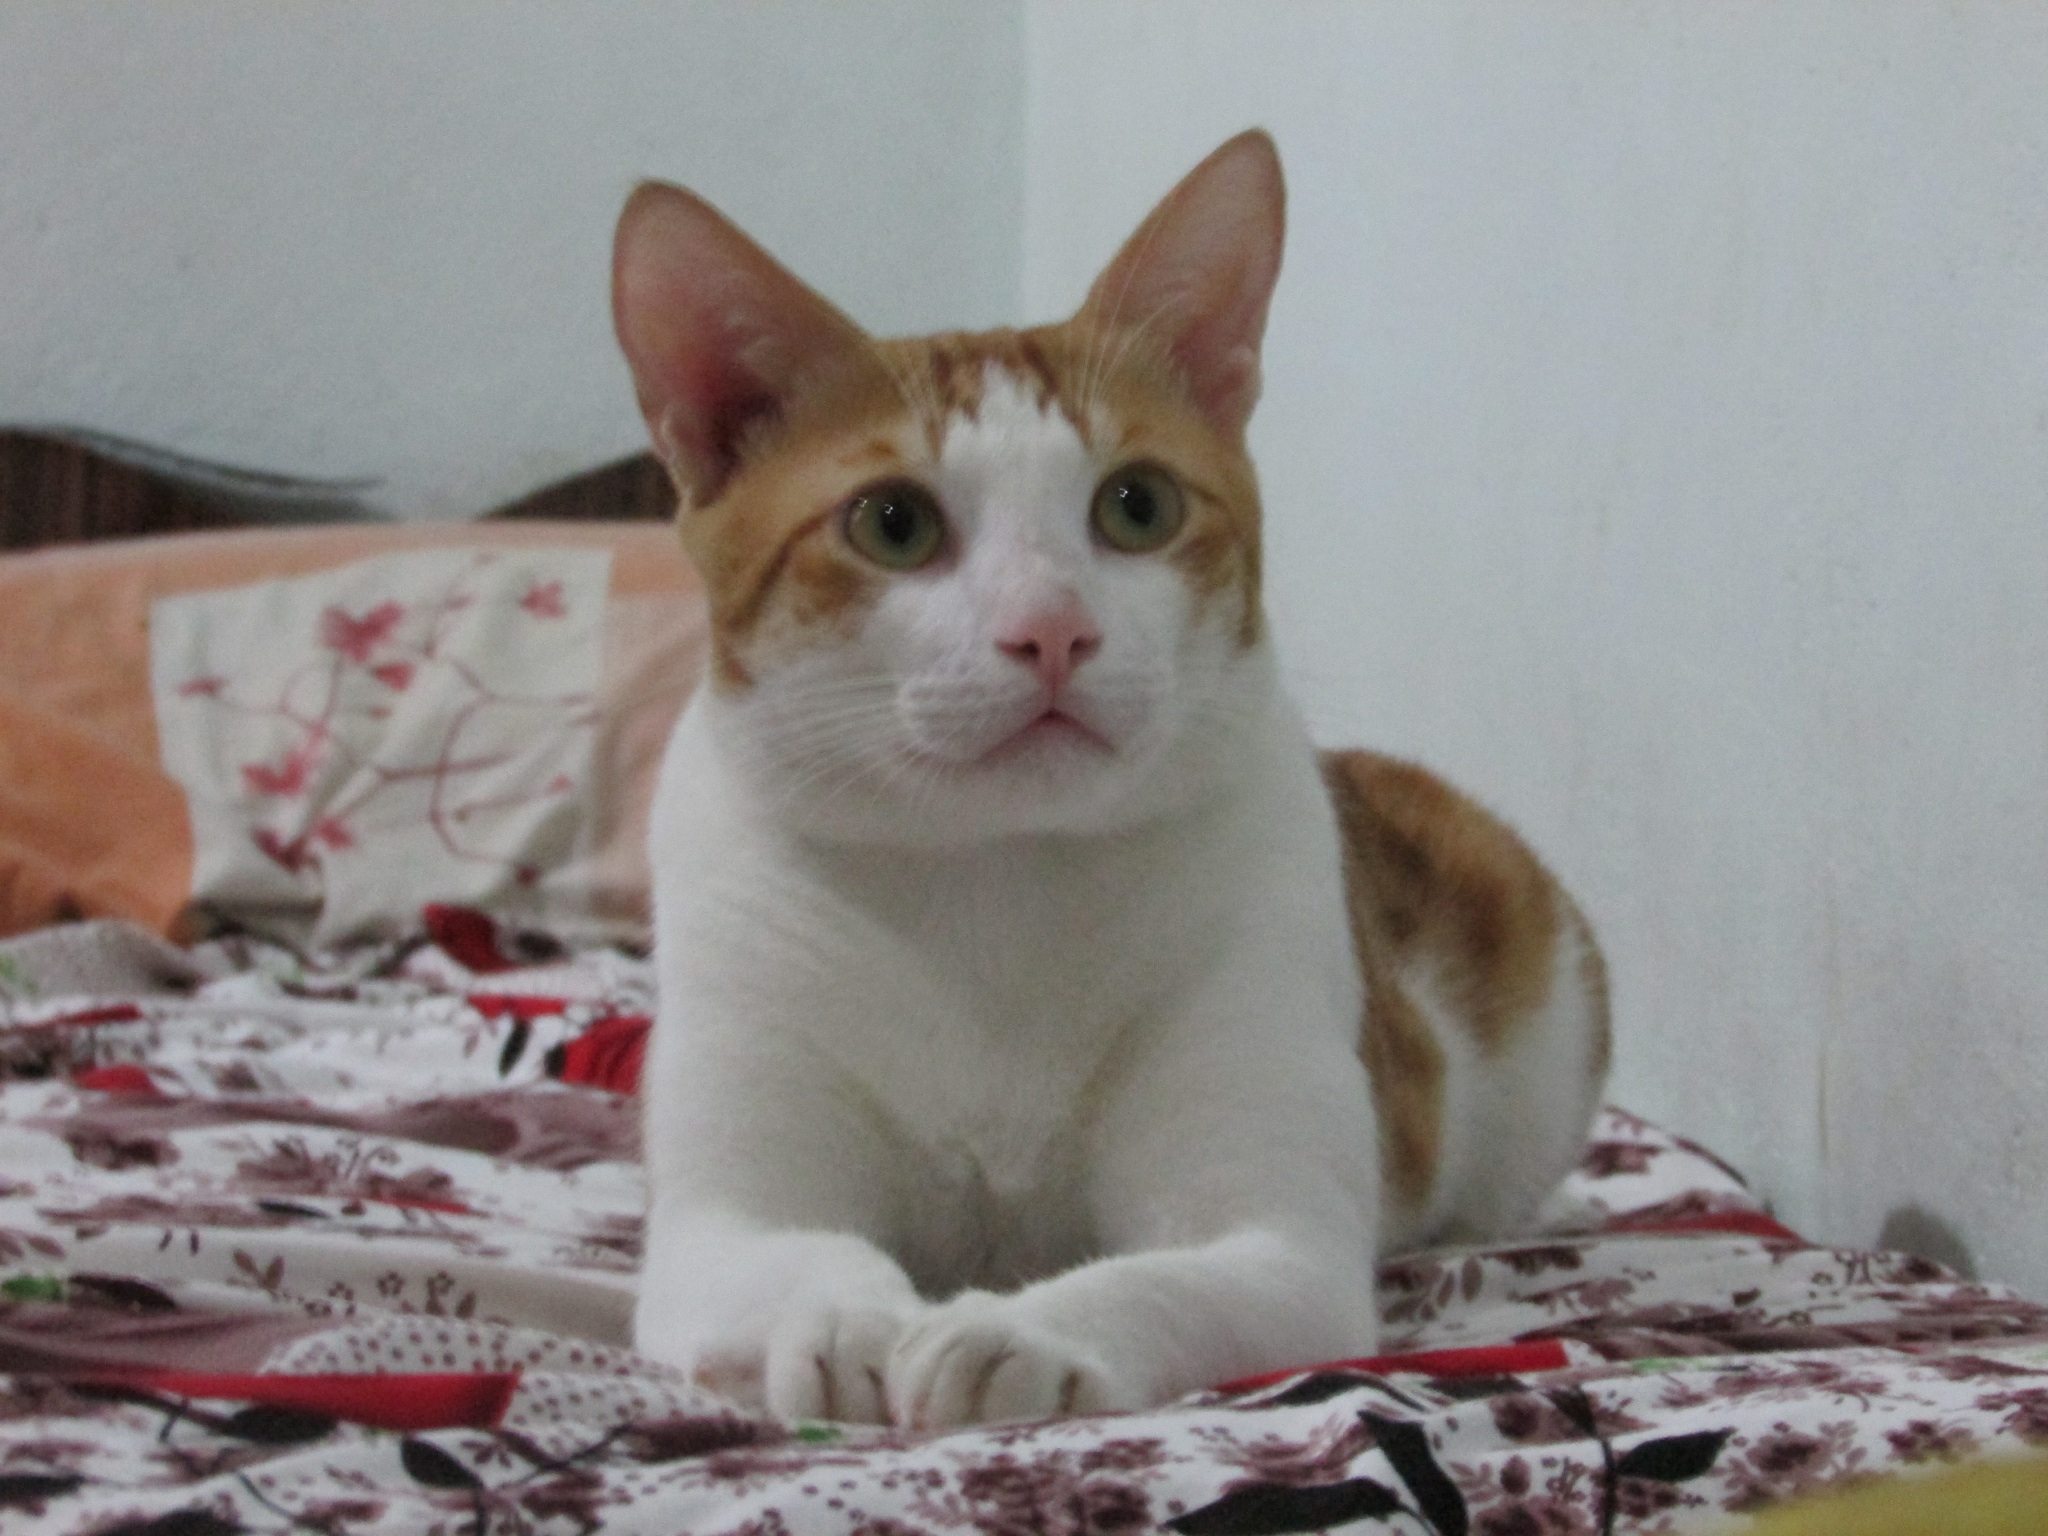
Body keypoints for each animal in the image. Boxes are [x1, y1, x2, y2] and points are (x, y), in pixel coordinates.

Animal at [614, 129, 1609, 1430]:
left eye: (1136, 505)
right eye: (891, 523)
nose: (1051, 630)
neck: (993, 885)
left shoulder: (1275, 1240)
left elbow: (1156, 1281)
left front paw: (1007, 1333)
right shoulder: (719, 1221)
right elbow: (796, 1255)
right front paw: (847, 1321)